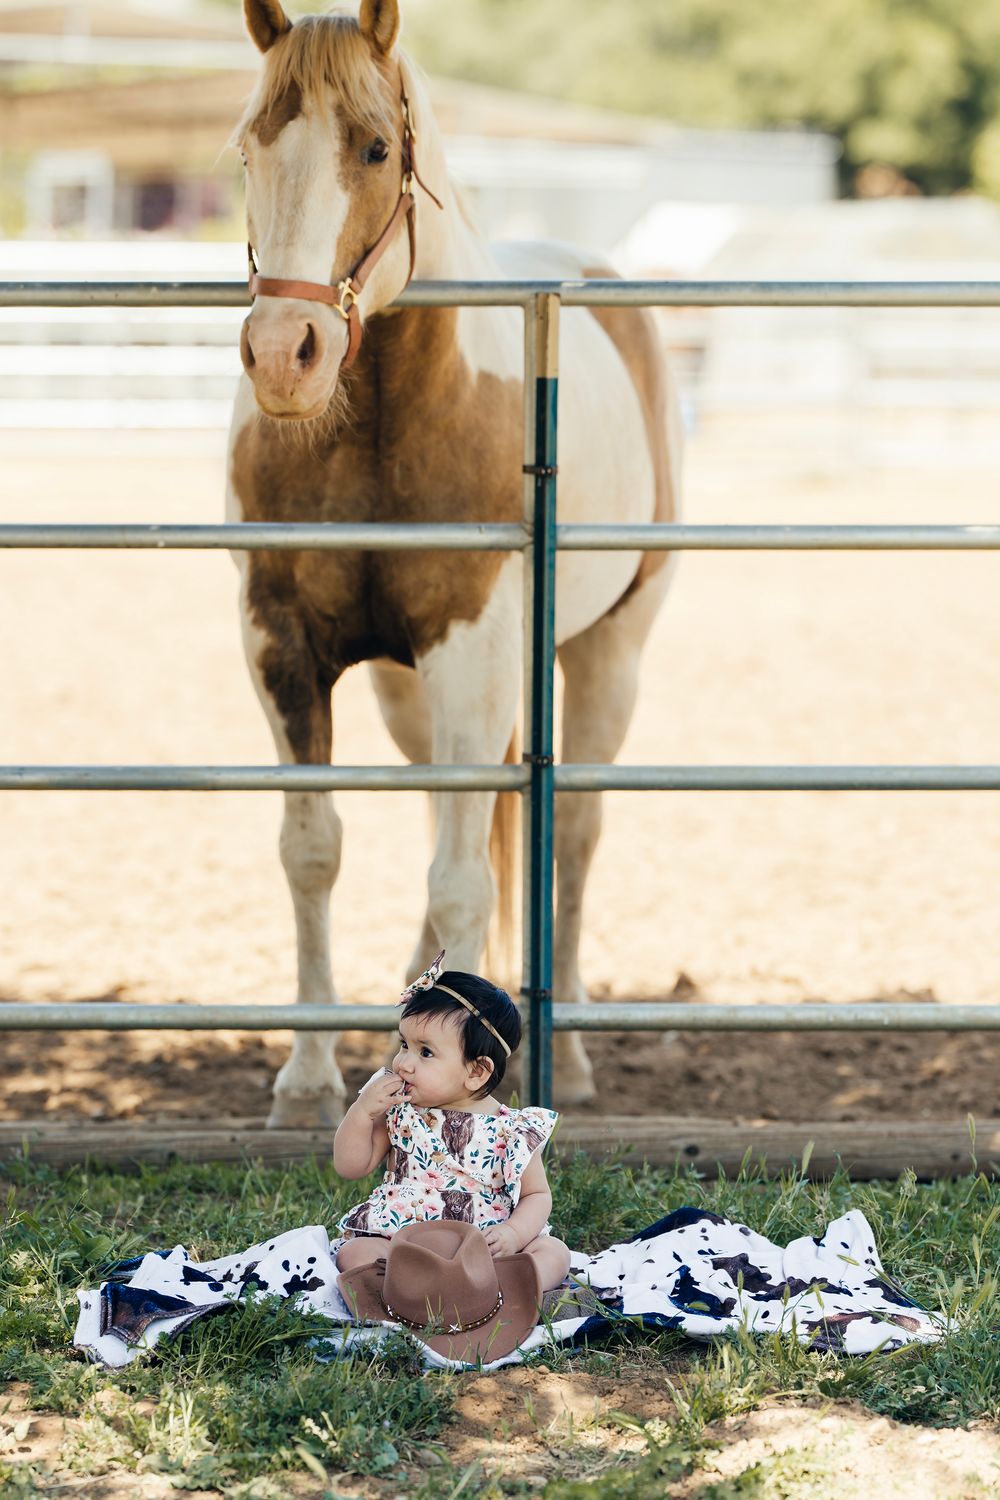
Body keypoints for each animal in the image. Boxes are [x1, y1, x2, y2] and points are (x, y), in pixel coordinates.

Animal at [228, 0, 682, 1126]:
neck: (378, 424)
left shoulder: (471, 650)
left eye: (374, 149)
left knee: (570, 836)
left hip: (605, 657)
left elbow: (466, 877)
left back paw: (571, 1059)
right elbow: (314, 850)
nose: (283, 355)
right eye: (249, 146)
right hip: (412, 695)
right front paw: (307, 1079)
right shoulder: (282, 647)